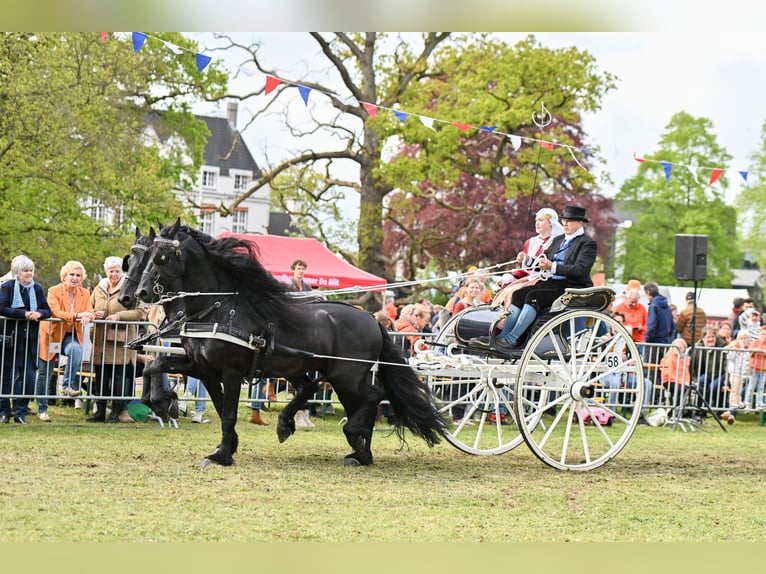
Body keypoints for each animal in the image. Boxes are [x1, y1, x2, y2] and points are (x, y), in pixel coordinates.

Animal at [128, 220, 448, 468]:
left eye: (162, 257)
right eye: (141, 257)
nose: (140, 293)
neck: (218, 308)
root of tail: (372, 320)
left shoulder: (230, 372)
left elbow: (228, 413)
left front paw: (221, 455)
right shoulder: (202, 368)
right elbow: (158, 367)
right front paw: (162, 402)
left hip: (346, 375)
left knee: (372, 396)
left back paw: (354, 439)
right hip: (318, 372)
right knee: (322, 390)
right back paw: (349, 447)